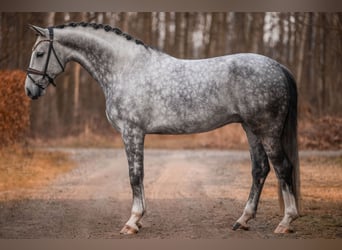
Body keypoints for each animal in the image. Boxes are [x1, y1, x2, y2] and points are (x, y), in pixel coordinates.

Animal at [25, 22, 300, 235]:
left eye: (40, 53)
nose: (30, 90)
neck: (125, 69)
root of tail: (278, 67)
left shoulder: (132, 132)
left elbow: (135, 176)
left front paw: (132, 222)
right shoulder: (136, 134)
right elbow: (138, 175)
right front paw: (138, 220)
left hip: (267, 130)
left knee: (283, 167)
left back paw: (286, 222)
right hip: (251, 129)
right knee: (260, 169)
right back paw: (243, 220)